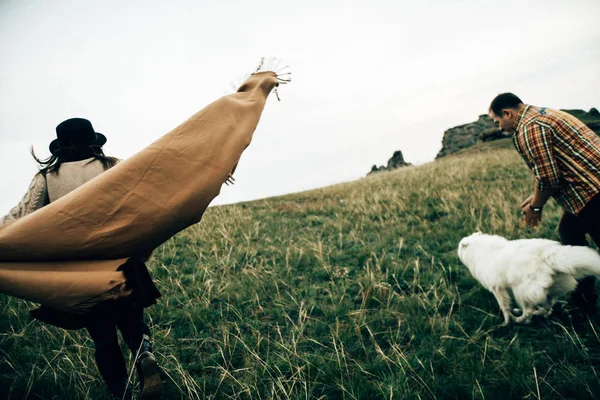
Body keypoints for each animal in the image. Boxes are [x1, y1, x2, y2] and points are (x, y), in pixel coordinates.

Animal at [460, 233, 600, 324]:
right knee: (547, 308)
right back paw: (535, 313)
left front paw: (506, 322)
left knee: (528, 311)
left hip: (520, 291)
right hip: (547, 289)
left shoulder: (497, 288)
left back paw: (520, 319)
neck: (480, 250)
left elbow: (504, 307)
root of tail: (547, 255)